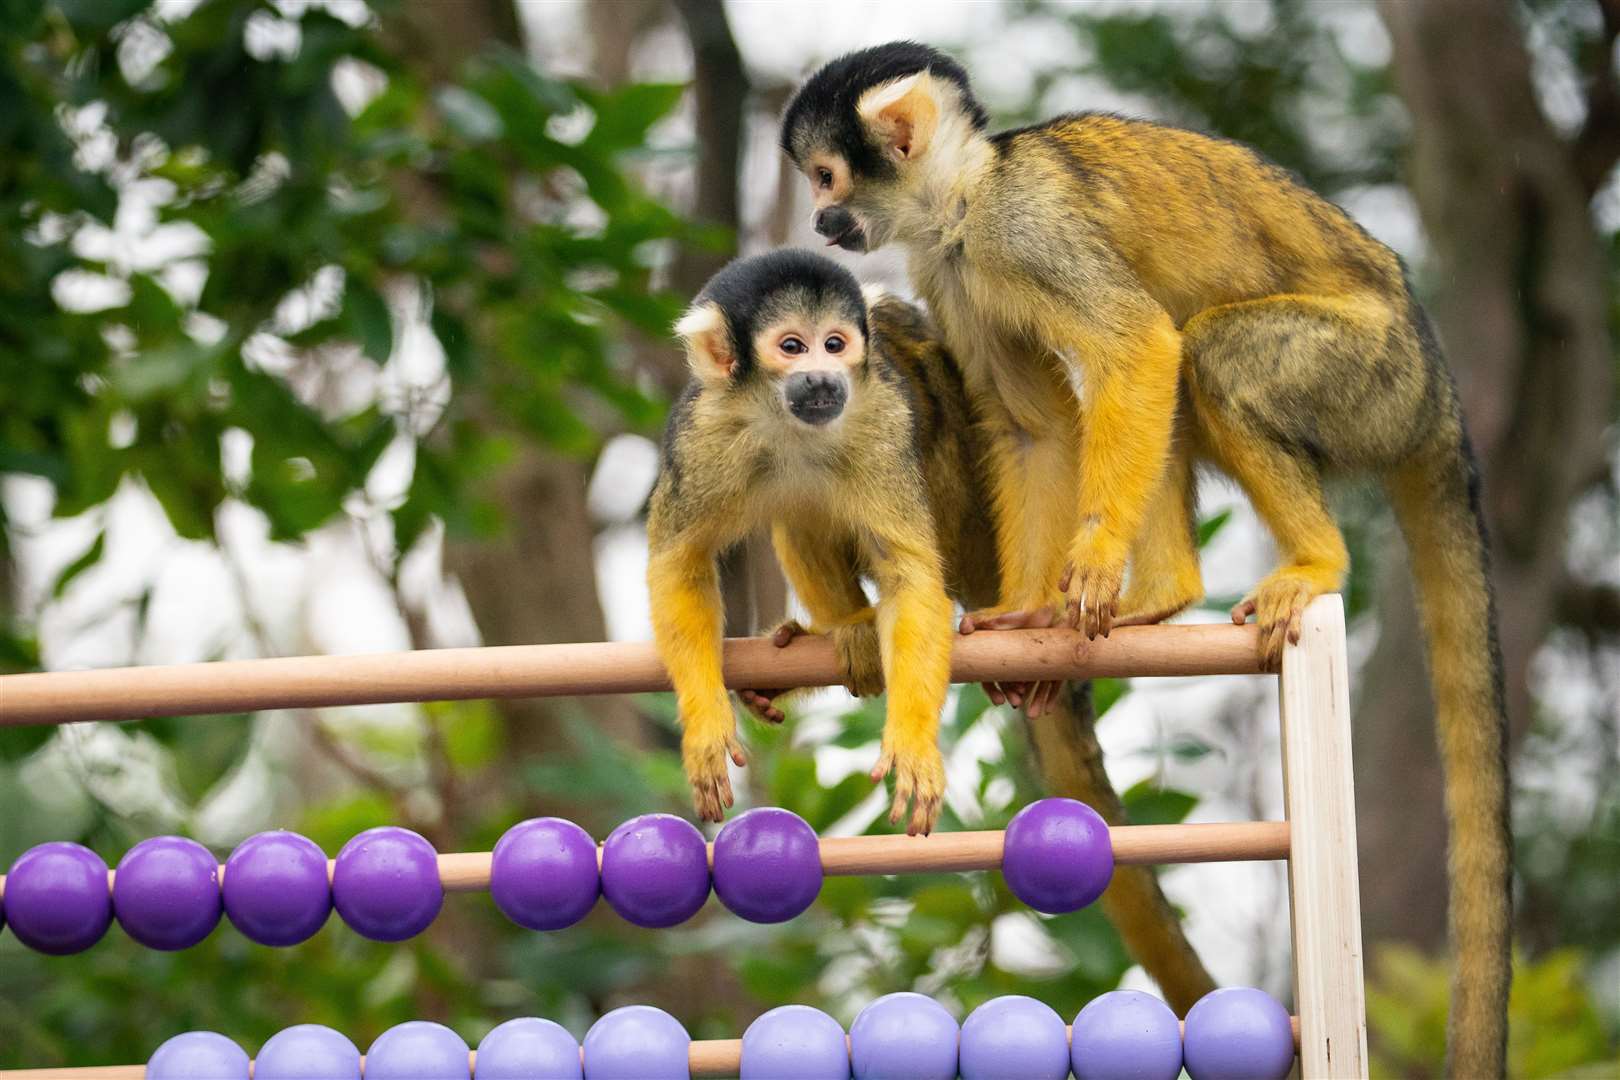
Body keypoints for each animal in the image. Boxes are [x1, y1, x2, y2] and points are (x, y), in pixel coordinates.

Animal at [644, 254, 1218, 1016]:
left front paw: (913, 746)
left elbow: (912, 575)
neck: (784, 424)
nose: (824, 379)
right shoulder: (700, 433)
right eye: (792, 347)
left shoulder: (881, 422)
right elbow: (676, 564)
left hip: (968, 513)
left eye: (834, 344)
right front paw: (706, 729)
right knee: (798, 503)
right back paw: (846, 633)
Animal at [787, 40, 1516, 1075]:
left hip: (1368, 377)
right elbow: (1033, 424)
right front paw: (1028, 615)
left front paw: (1088, 567)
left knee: (1202, 348)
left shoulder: (1021, 233)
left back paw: (1314, 563)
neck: (966, 193)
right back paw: (1167, 597)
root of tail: (1437, 393)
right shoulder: (953, 269)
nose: (819, 219)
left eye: (824, 176)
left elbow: (1134, 345)